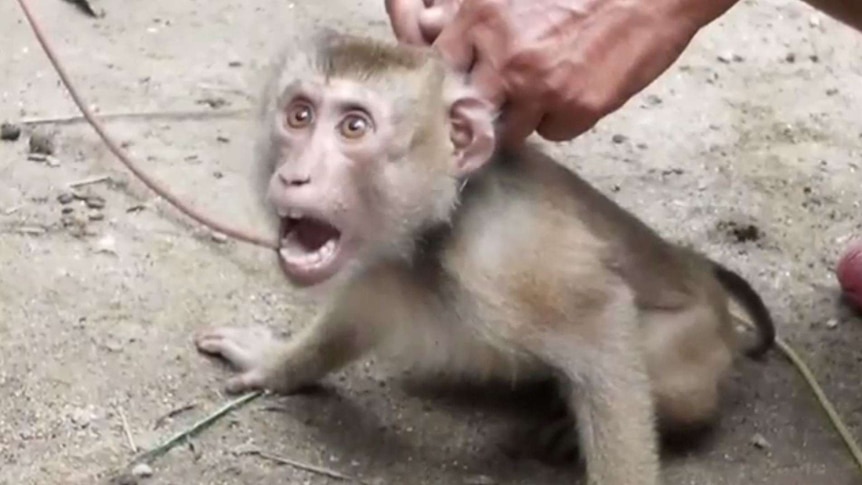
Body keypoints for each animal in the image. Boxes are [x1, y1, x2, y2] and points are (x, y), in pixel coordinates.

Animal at [196, 29, 776, 484]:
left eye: (353, 127)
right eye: (299, 115)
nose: (295, 176)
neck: (440, 223)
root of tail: (697, 268)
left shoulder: (503, 262)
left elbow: (605, 324)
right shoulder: (386, 262)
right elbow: (355, 319)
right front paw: (278, 362)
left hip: (693, 348)